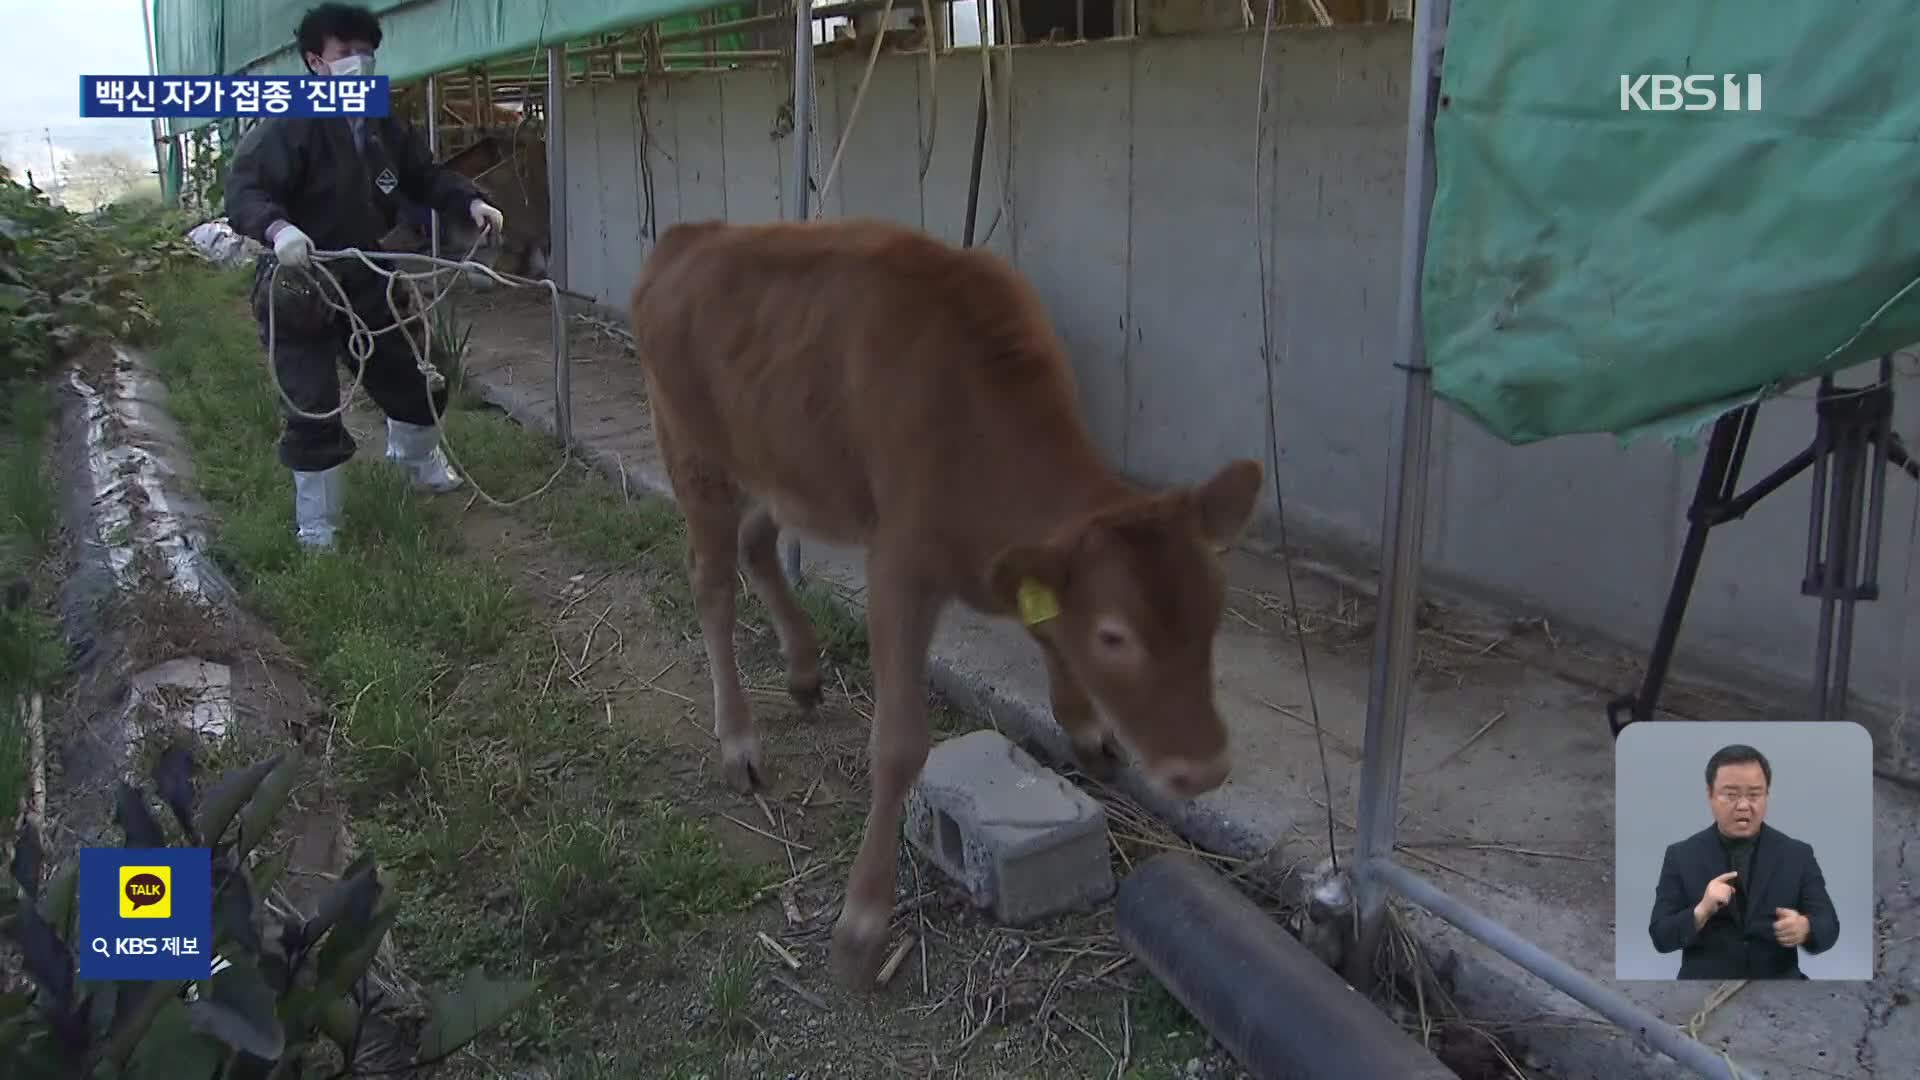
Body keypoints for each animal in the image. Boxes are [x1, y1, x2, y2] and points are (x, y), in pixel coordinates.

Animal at [625, 216, 1259, 983]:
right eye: (1114, 636)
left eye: (1213, 613)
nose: (1205, 767)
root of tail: (691, 235)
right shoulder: (899, 564)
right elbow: (900, 744)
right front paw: (862, 920)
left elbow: (1045, 622)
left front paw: (1085, 727)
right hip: (693, 453)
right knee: (712, 585)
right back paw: (739, 741)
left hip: (787, 465)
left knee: (757, 542)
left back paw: (803, 669)